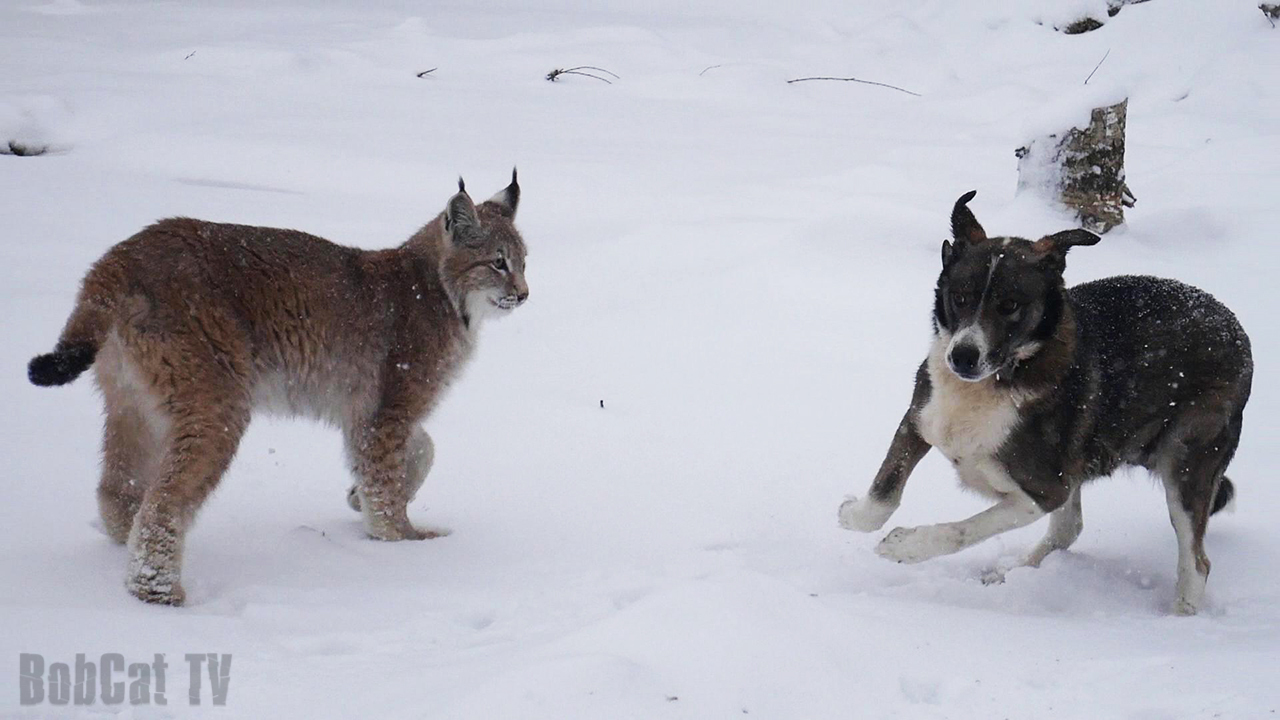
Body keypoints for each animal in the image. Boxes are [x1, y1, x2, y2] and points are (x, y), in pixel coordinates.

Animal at [839, 189, 1249, 609]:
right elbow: (884, 493)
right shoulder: (920, 419)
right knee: (1070, 528)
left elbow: (966, 529)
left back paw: (1180, 614)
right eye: (960, 297)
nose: (963, 357)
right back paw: (1011, 571)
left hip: (1186, 459)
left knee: (1196, 564)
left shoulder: (1044, 491)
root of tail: (1233, 326)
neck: (999, 379)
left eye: (1009, 305)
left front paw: (907, 545)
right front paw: (853, 515)